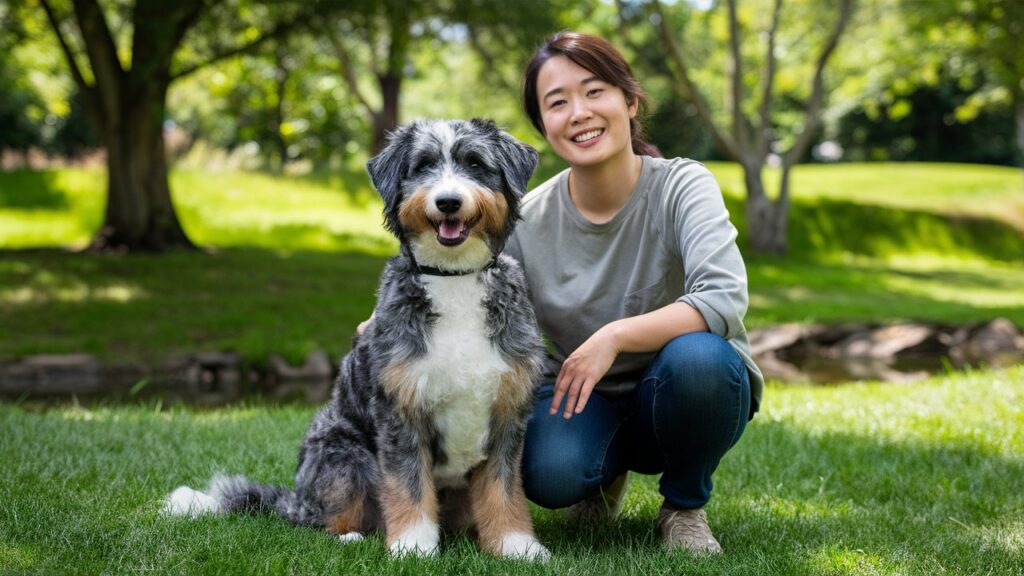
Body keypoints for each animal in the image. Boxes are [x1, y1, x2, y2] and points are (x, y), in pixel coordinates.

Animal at [165, 118, 552, 557]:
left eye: (474, 163)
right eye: (422, 165)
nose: (449, 202)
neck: (454, 280)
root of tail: (297, 499)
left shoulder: (508, 415)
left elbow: (503, 490)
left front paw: (516, 546)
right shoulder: (400, 412)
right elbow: (408, 487)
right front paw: (413, 547)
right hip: (344, 455)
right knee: (325, 521)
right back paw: (349, 536)